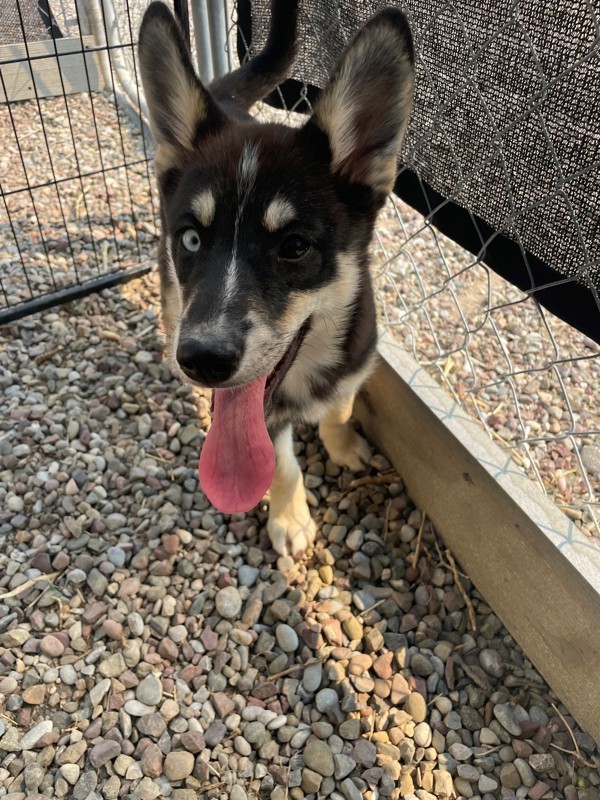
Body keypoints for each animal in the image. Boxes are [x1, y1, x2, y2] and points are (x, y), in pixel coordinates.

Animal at [138, 0, 414, 560]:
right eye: (192, 239)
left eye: (294, 247)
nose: (201, 361)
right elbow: (282, 466)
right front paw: (291, 519)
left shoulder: (357, 359)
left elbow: (340, 407)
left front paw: (344, 445)